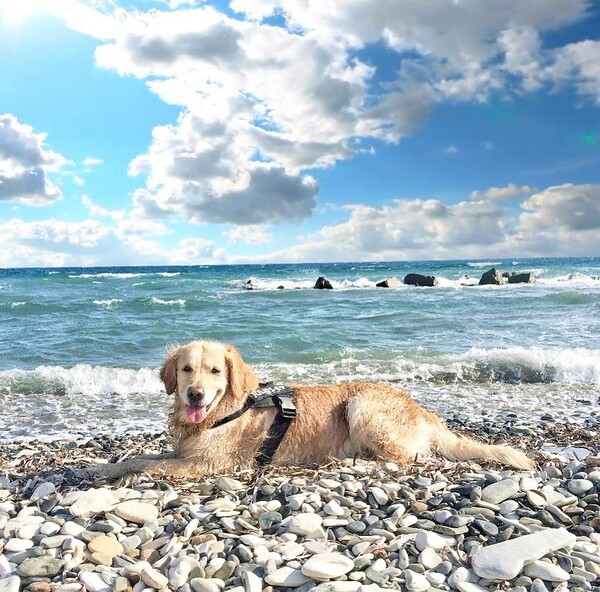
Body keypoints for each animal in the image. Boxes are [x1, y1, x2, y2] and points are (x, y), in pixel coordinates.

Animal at [83, 338, 536, 480]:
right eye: (186, 369)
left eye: (215, 371)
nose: (195, 394)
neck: (218, 414)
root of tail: (422, 410)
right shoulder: (184, 451)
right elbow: (141, 457)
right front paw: (101, 467)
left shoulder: (206, 463)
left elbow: (143, 464)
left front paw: (108, 473)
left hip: (362, 405)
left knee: (401, 458)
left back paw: (349, 462)